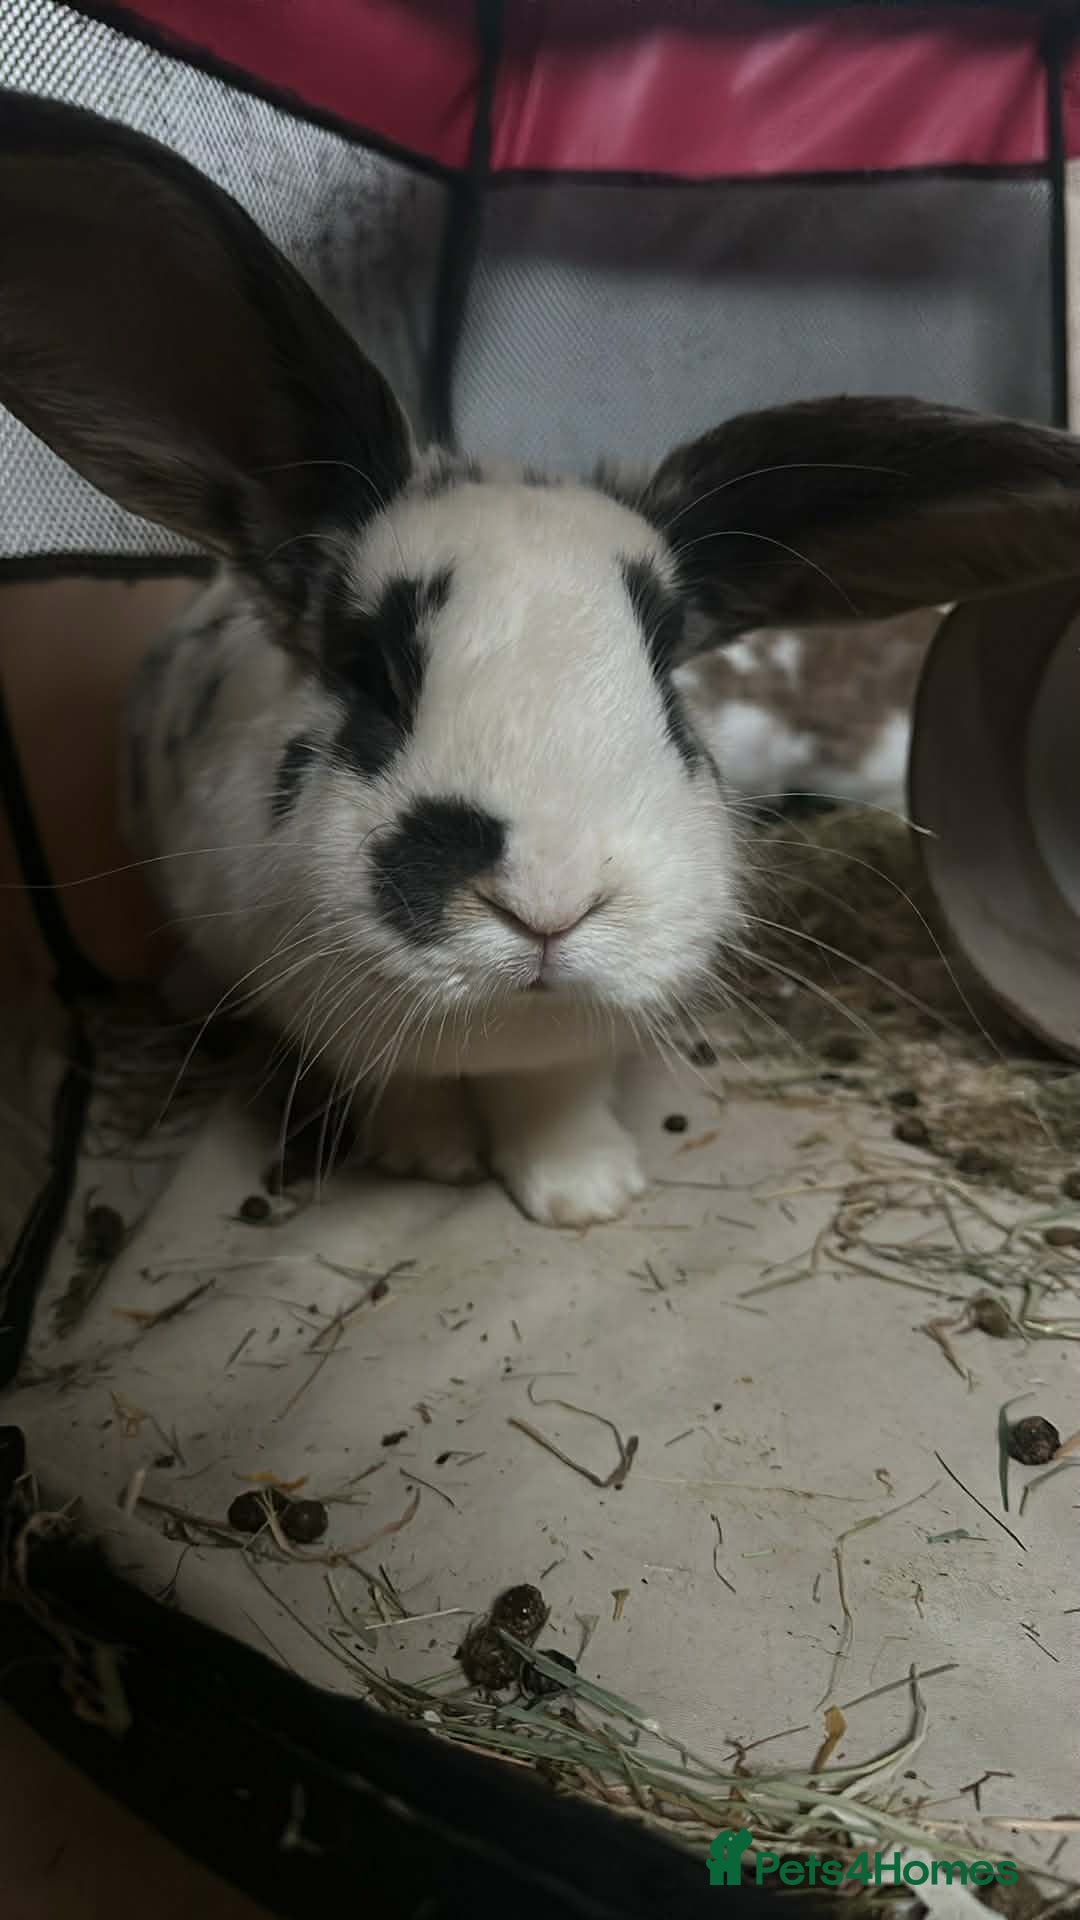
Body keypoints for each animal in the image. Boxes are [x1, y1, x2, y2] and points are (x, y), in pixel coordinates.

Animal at [3, 92, 1080, 1226]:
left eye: (668, 674)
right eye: (369, 669)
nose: (550, 904)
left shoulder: (564, 1060)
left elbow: (554, 1101)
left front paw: (586, 1196)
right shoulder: (343, 1031)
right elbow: (401, 1088)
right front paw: (428, 1161)